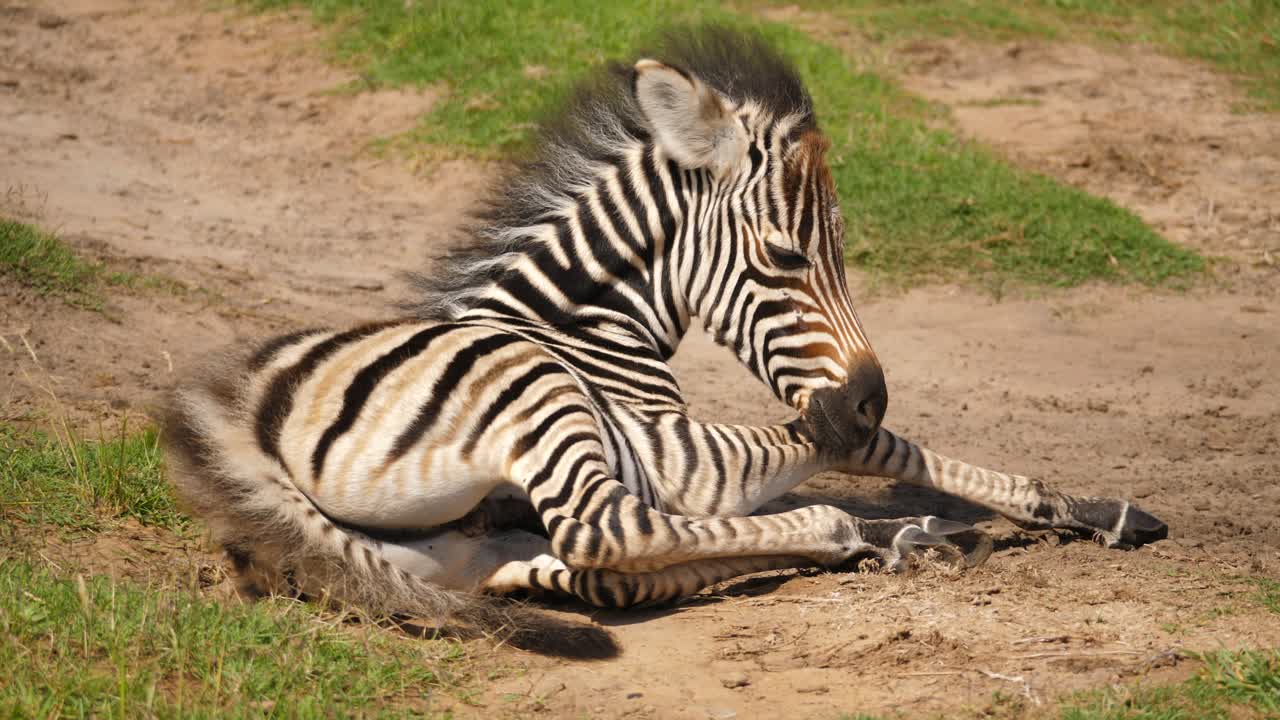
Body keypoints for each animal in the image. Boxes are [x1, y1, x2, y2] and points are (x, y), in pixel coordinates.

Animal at [164, 28, 1167, 636]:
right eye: (785, 256)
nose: (869, 394)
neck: (585, 327)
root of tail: (249, 424)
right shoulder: (677, 452)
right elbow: (868, 448)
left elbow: (871, 448)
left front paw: (1079, 508)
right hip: (552, 412)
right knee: (616, 535)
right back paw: (862, 531)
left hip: (452, 547)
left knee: (593, 566)